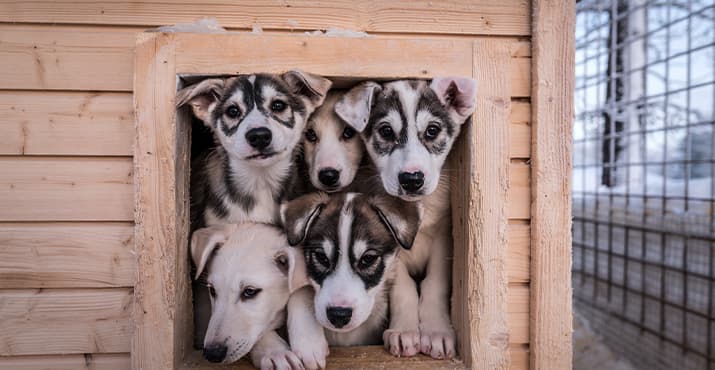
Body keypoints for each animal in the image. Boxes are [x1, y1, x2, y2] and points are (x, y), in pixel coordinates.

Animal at [179, 70, 336, 346]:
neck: (260, 184)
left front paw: (308, 340)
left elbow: (298, 284)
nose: (259, 135)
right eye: (232, 111)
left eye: (278, 105)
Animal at [338, 77, 482, 358]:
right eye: (386, 131)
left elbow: (434, 284)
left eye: (432, 130)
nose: (412, 179)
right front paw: (404, 330)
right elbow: (402, 288)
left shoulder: (443, 238)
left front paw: (436, 331)